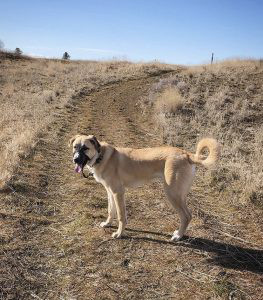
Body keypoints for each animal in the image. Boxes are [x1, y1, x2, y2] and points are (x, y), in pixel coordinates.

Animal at [69, 135, 220, 241]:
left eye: (85, 148)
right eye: (75, 147)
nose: (75, 160)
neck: (101, 156)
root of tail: (186, 154)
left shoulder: (118, 192)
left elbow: (121, 216)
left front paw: (119, 233)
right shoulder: (110, 192)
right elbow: (110, 211)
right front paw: (107, 223)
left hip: (172, 194)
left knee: (187, 216)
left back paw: (178, 236)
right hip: (180, 195)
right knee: (187, 215)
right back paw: (178, 233)